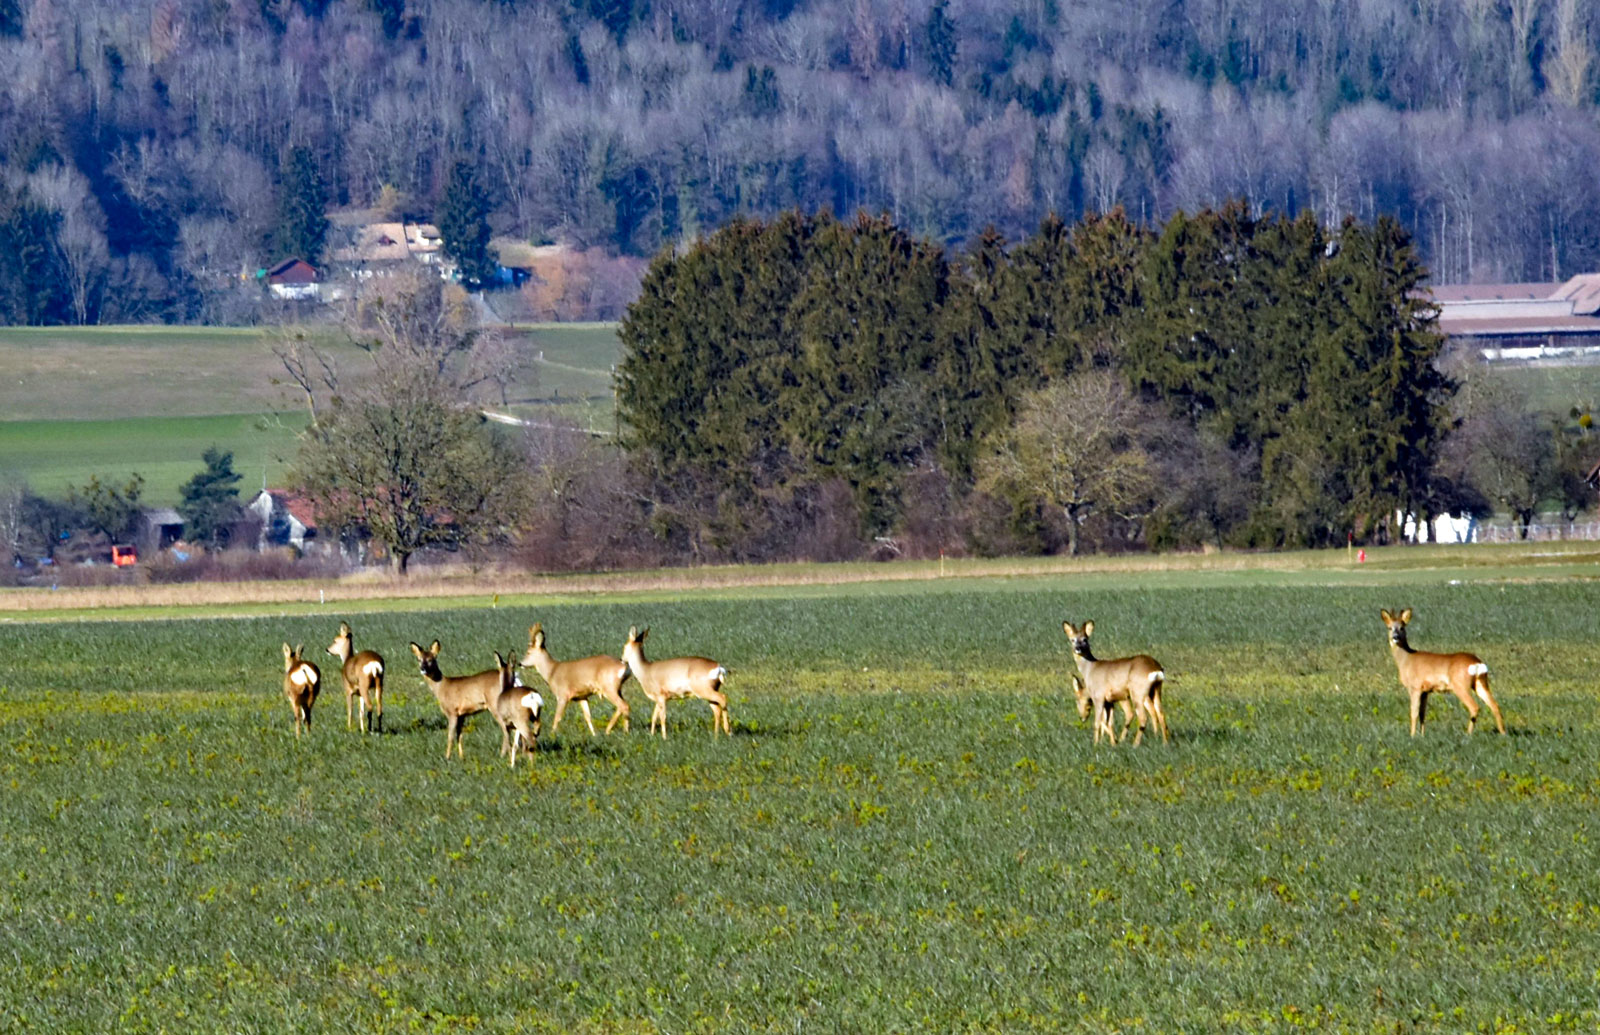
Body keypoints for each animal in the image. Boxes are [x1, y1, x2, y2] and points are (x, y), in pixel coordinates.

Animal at [409, 639, 540, 761]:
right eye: (419, 659)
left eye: (431, 659)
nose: (423, 669)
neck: (442, 687)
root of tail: (516, 681)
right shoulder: (462, 715)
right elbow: (459, 735)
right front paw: (461, 757)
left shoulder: (452, 712)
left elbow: (450, 736)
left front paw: (447, 757)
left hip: (495, 707)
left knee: (509, 730)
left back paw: (506, 755)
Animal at [1382, 607, 1504, 735]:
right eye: (1389, 627)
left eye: (1402, 627)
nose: (1395, 637)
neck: (1406, 660)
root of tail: (1477, 663)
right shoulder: (1425, 691)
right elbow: (1422, 714)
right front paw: (1422, 735)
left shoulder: (1415, 687)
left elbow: (1413, 713)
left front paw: (1412, 735)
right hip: (1480, 683)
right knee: (1495, 705)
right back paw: (1503, 733)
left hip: (1460, 685)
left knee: (1474, 707)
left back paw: (1468, 734)